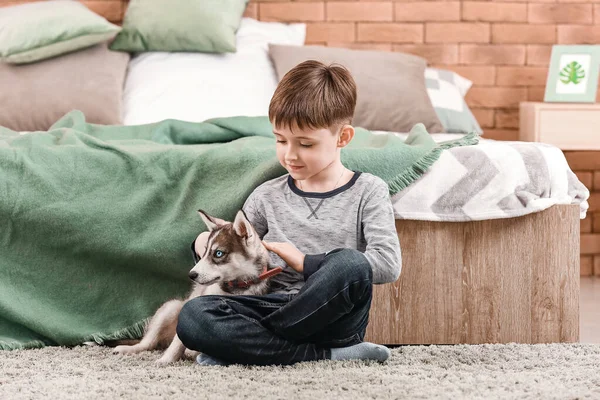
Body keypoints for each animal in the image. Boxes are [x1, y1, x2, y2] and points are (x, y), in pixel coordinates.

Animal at [112, 209, 282, 366]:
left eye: (218, 253)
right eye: (205, 251)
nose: (191, 274)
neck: (235, 286)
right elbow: (177, 342)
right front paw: (166, 359)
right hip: (171, 308)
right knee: (149, 342)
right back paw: (129, 349)